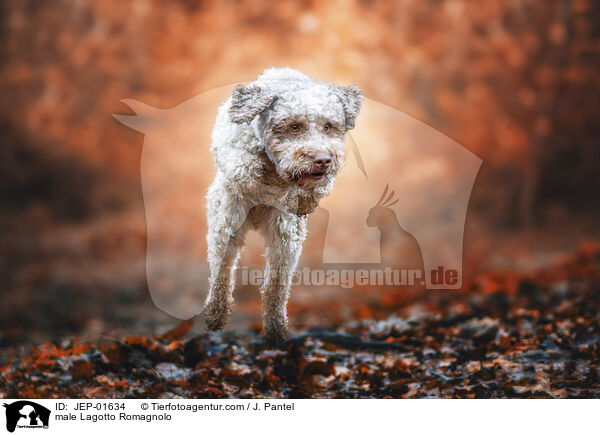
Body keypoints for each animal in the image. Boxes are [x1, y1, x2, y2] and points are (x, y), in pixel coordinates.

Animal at [204, 68, 364, 346]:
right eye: (294, 126)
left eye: (328, 126)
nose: (323, 160)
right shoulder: (231, 155)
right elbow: (244, 166)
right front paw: (258, 171)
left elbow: (313, 190)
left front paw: (302, 194)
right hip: (226, 224)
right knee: (222, 272)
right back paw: (216, 313)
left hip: (285, 237)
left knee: (275, 285)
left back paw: (276, 329)